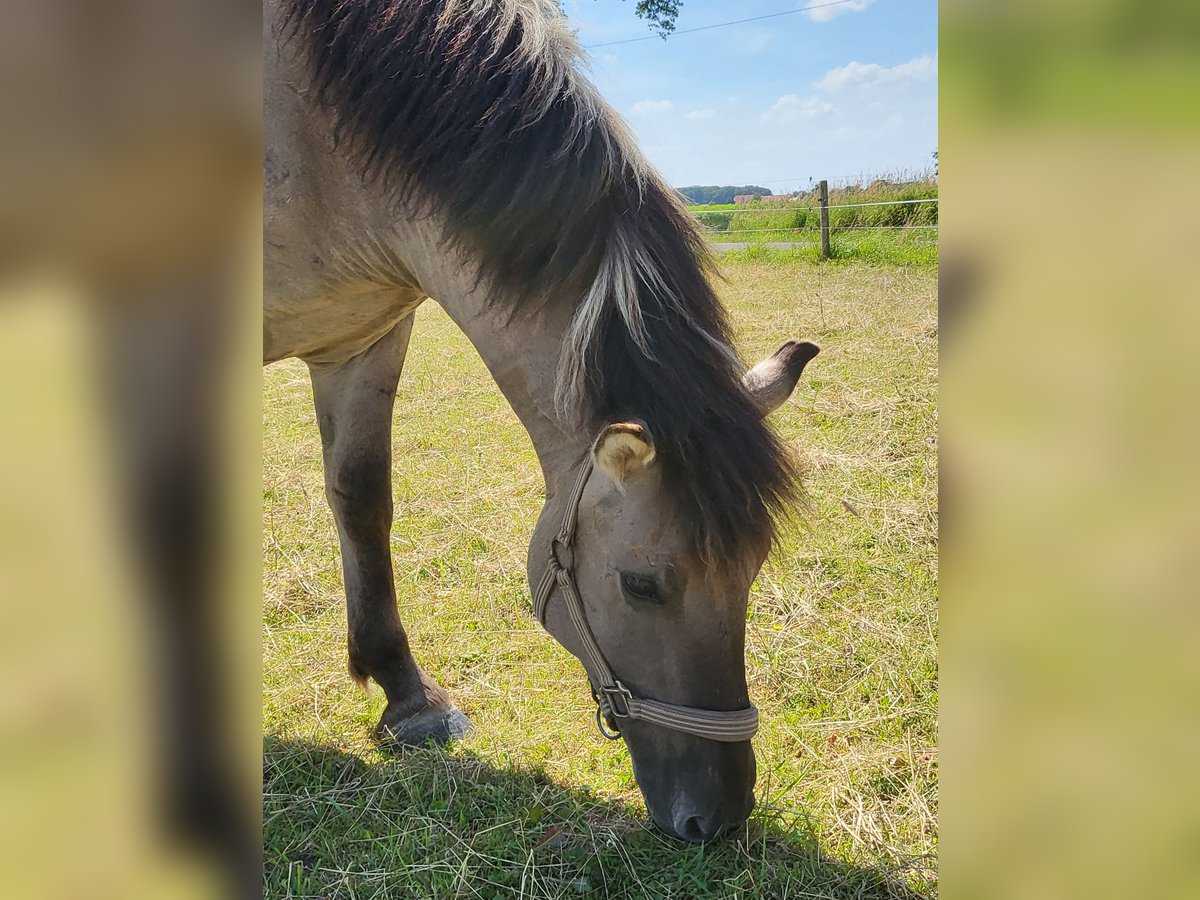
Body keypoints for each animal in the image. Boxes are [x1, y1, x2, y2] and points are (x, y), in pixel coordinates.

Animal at [267, 0, 820, 844]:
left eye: (754, 566)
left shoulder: (363, 339)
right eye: (641, 585)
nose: (719, 817)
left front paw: (407, 696)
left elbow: (362, 501)